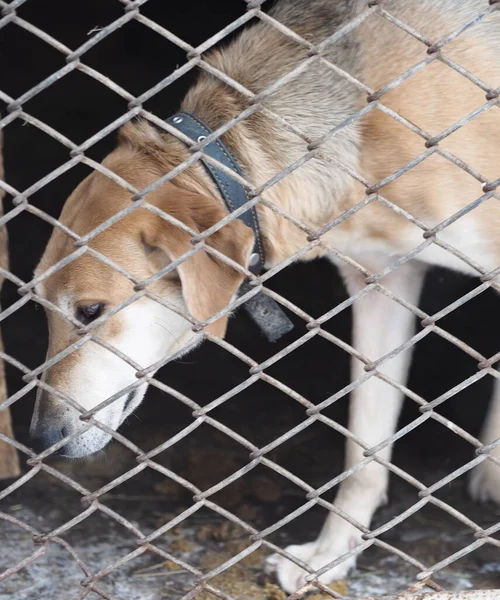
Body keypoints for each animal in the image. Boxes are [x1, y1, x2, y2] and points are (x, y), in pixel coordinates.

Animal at [28, 0, 500, 592]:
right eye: (42, 309)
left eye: (91, 311)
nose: (40, 439)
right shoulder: (379, 284)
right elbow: (363, 452)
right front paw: (329, 556)